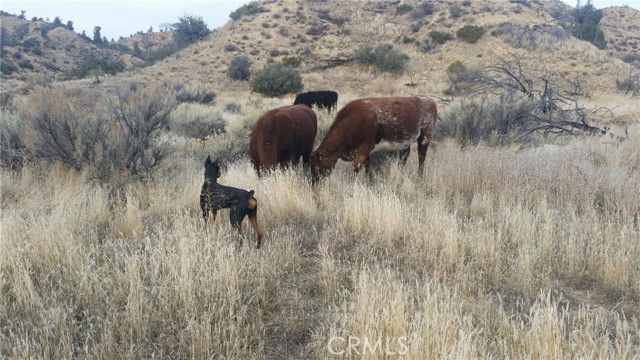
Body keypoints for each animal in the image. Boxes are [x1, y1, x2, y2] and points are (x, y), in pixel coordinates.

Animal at [308, 95, 438, 181]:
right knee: (404, 157)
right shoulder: (366, 153)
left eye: (316, 168)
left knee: (421, 157)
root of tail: (428, 100)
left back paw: (419, 177)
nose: (315, 184)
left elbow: (356, 170)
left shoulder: (363, 150)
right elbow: (368, 168)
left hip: (425, 137)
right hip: (405, 142)